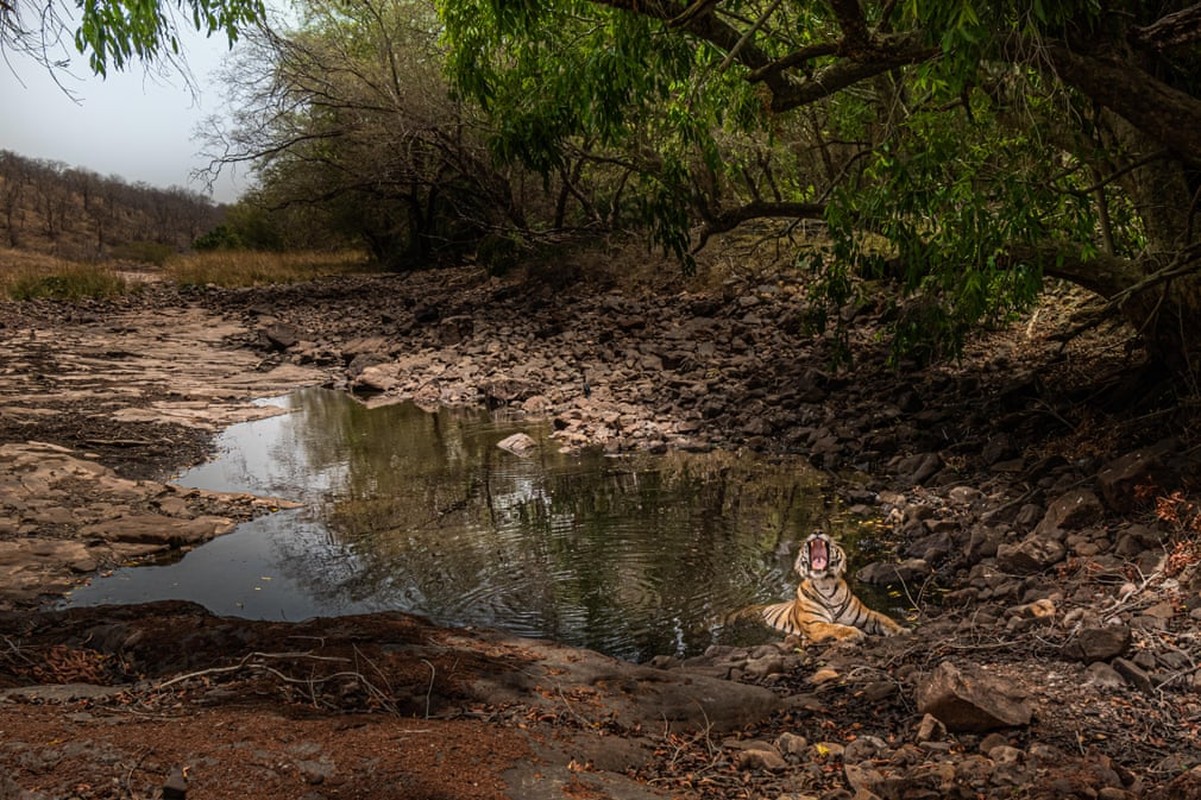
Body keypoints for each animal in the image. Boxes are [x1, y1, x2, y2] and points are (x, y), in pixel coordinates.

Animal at [763, 528, 903, 643]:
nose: (817, 531)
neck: (826, 584)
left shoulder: (866, 615)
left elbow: (885, 619)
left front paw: (902, 631)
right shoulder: (814, 624)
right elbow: (835, 627)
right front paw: (854, 633)